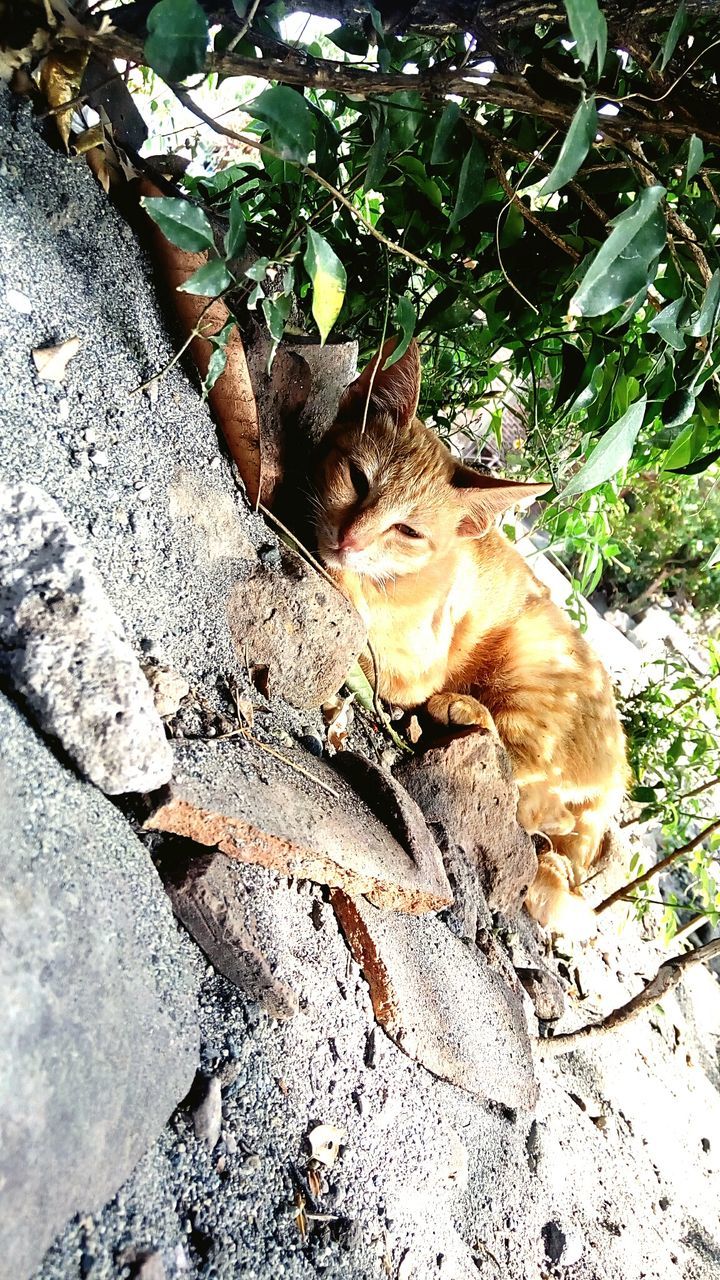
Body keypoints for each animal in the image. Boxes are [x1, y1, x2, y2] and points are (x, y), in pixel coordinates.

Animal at [311, 340, 625, 936]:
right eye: (359, 479)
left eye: (407, 531)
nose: (351, 537)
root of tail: (620, 777)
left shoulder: (412, 662)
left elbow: (362, 611)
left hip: (531, 670)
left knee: (530, 802)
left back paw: (456, 711)